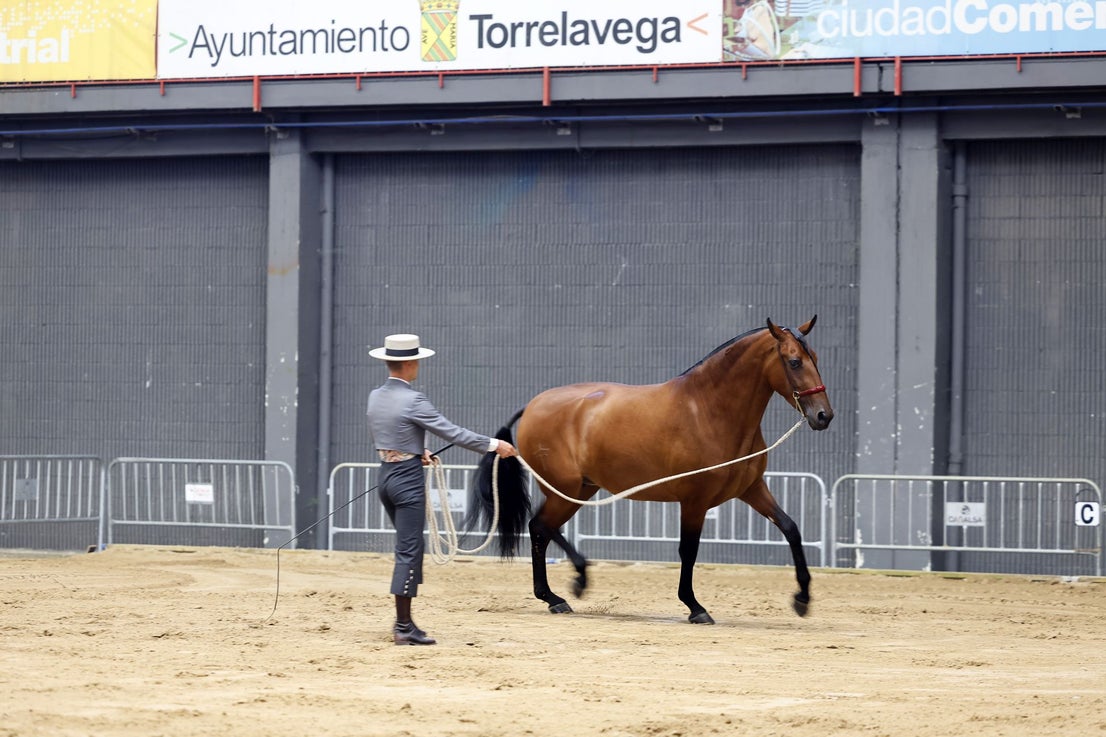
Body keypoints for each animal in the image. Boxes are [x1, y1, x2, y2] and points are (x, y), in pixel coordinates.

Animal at [467, 317, 833, 624]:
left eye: (816, 356)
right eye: (794, 361)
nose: (823, 416)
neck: (708, 411)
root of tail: (533, 405)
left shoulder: (752, 489)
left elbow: (791, 529)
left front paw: (802, 598)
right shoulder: (695, 500)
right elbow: (688, 550)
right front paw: (695, 607)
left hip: (581, 489)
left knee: (542, 529)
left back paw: (562, 591)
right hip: (565, 489)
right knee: (540, 526)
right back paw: (566, 588)